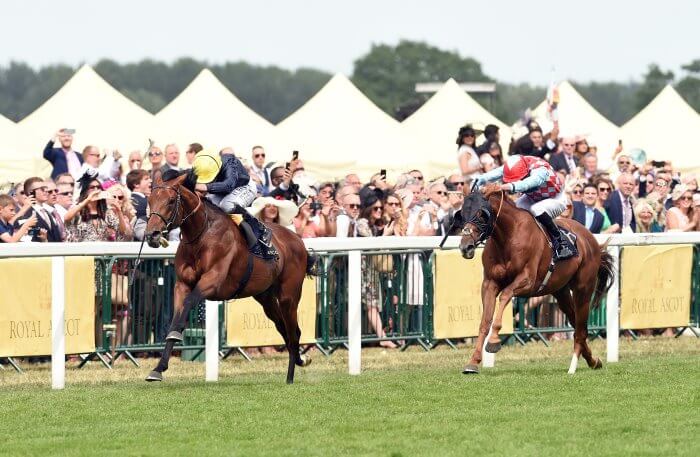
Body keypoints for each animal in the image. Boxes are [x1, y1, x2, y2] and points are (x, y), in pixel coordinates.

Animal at [145, 169, 314, 382]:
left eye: (170, 201)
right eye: (150, 199)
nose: (152, 235)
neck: (201, 234)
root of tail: (297, 239)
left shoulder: (212, 281)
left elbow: (188, 306)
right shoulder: (182, 284)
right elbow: (176, 319)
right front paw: (158, 369)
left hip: (288, 296)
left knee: (293, 333)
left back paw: (291, 376)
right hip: (266, 298)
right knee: (284, 329)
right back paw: (300, 359)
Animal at [454, 183, 612, 374]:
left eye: (481, 214)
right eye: (462, 213)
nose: (466, 247)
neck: (508, 236)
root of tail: (590, 237)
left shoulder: (528, 281)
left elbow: (505, 295)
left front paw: (493, 341)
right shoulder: (490, 283)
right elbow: (485, 321)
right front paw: (473, 362)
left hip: (583, 289)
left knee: (581, 329)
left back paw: (573, 367)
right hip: (561, 291)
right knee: (578, 325)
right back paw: (593, 361)